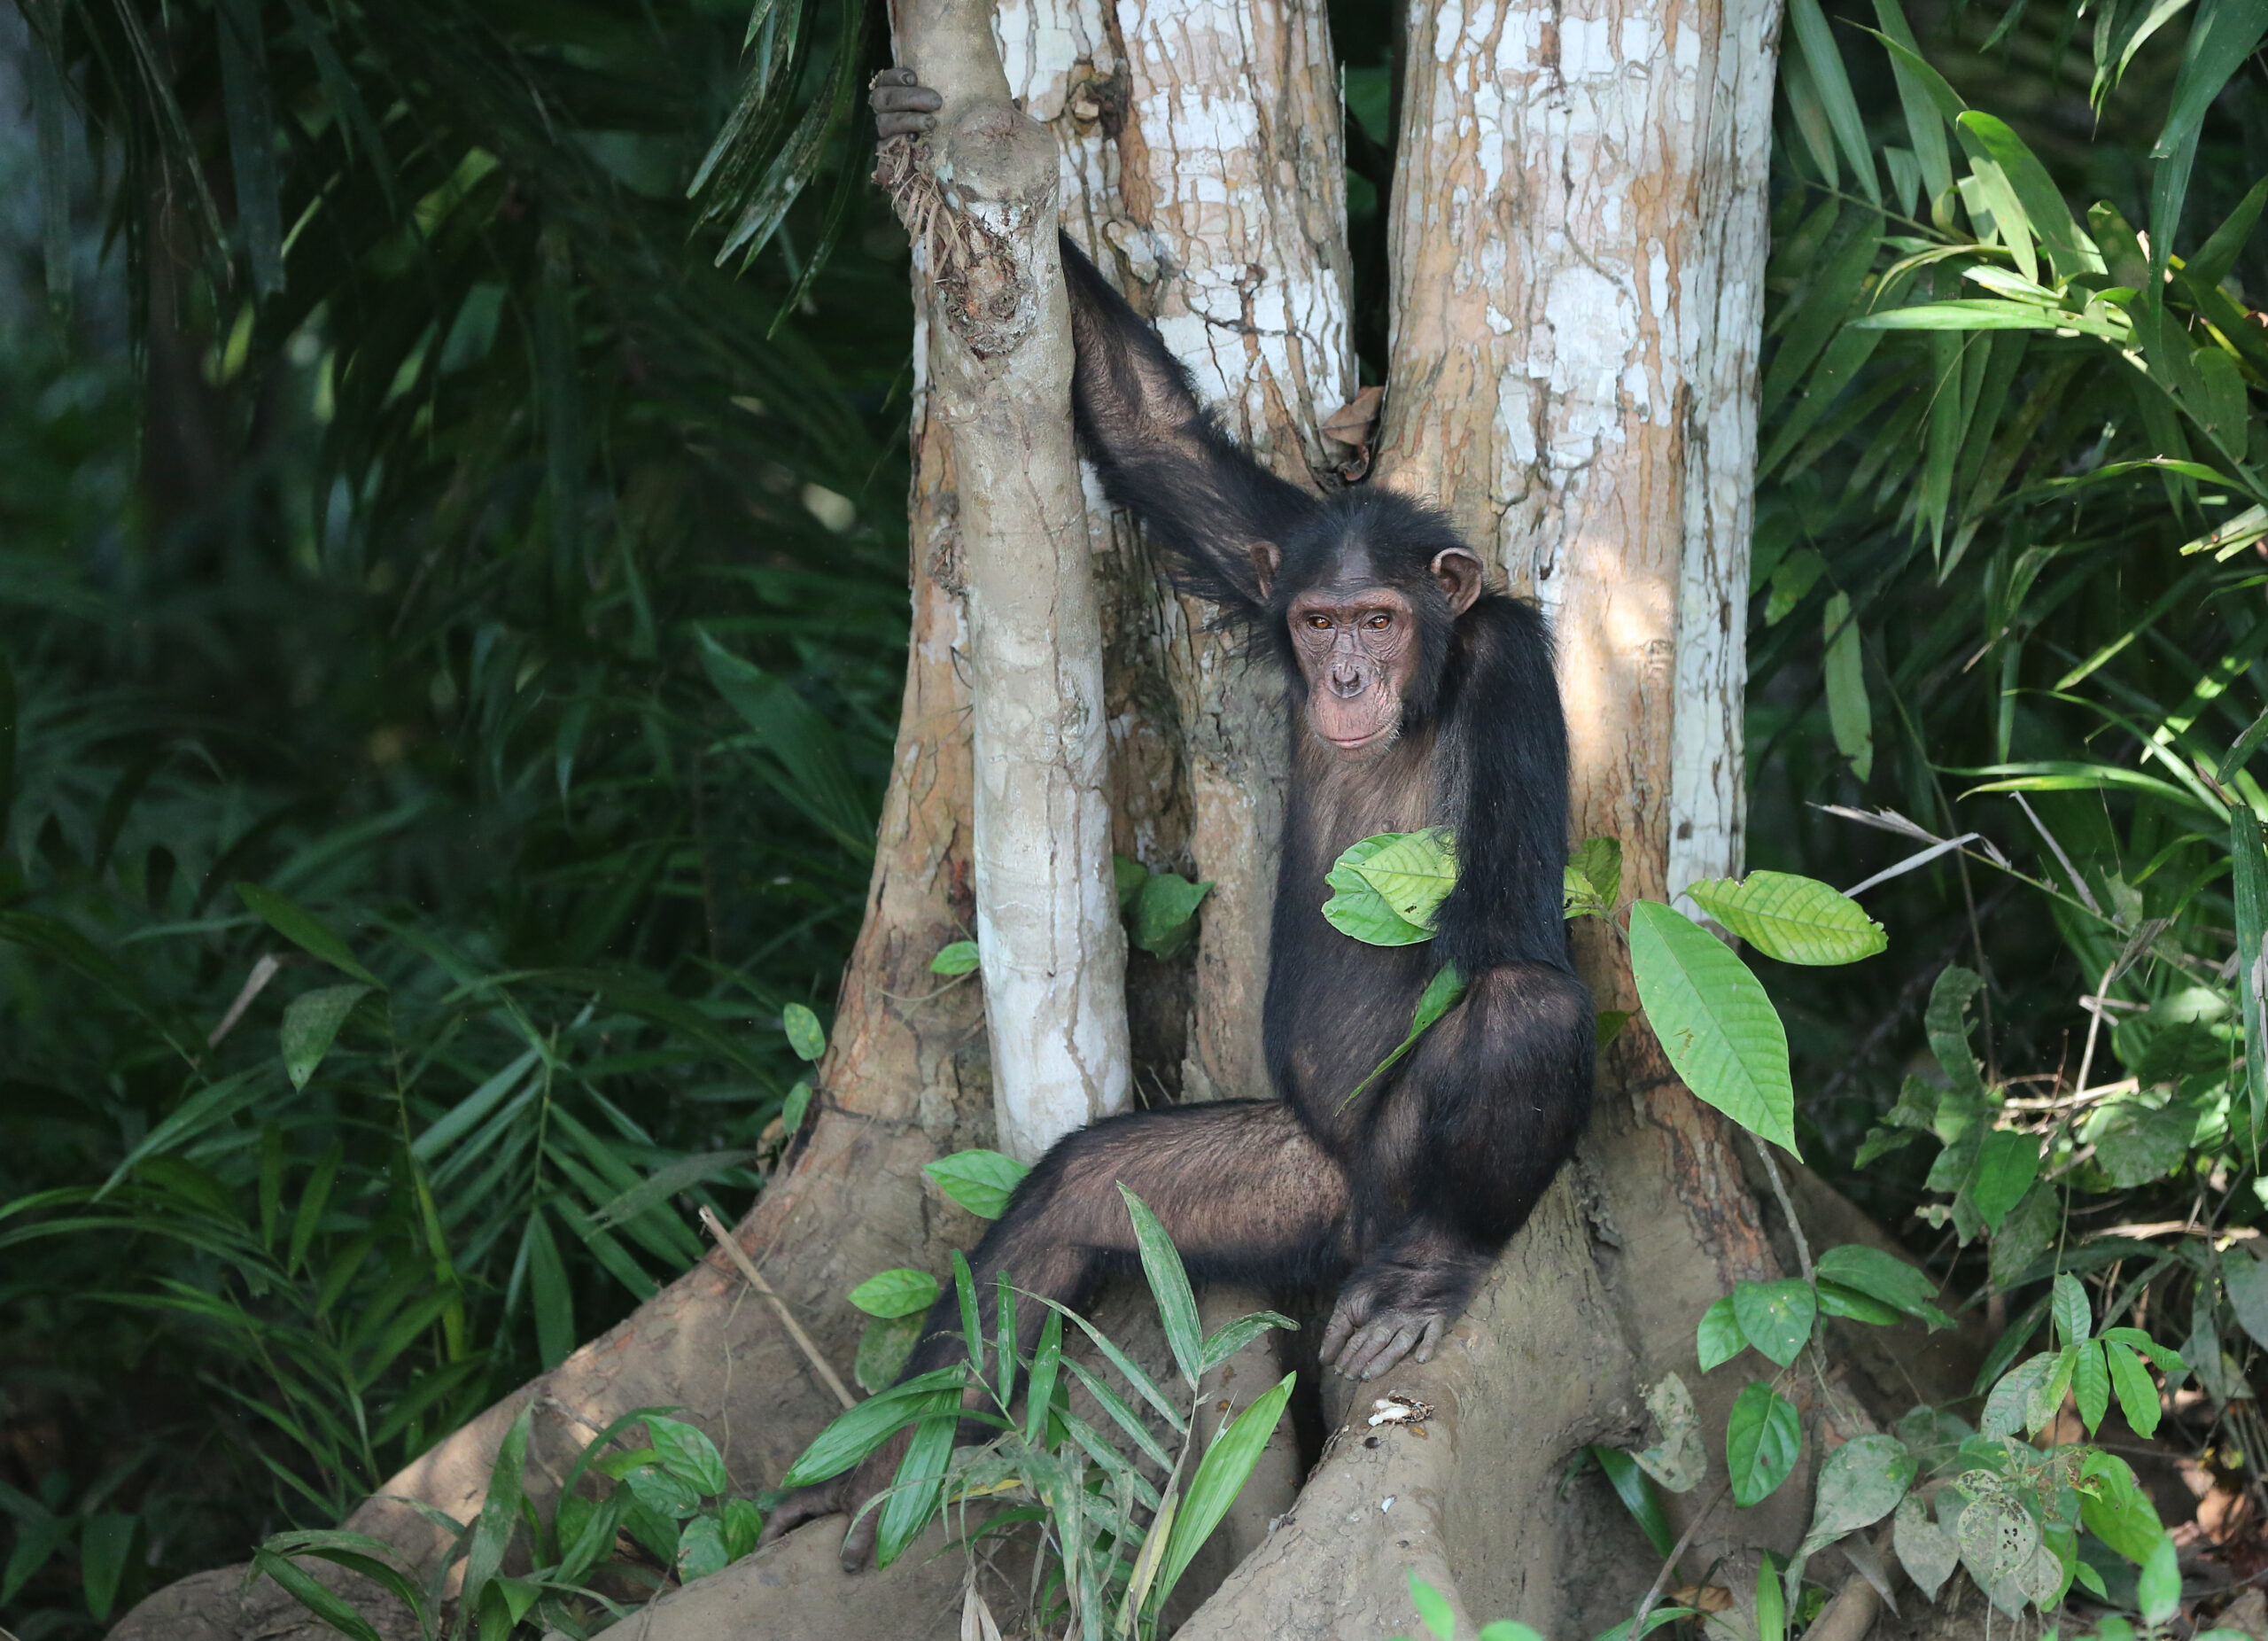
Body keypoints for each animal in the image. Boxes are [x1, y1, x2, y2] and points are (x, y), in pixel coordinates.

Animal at [761, 71, 1596, 1571]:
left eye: (1382, 624)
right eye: (1322, 622)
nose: (1344, 675)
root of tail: (1360, 1212)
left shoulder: (1508, 673)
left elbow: (1509, 922)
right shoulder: (1267, 553)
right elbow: (1151, 433)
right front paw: (914, 125)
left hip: (1394, 1175)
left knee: (1524, 1010)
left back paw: (1431, 1269)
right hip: (1287, 1181)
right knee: (1081, 1192)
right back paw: (894, 1456)